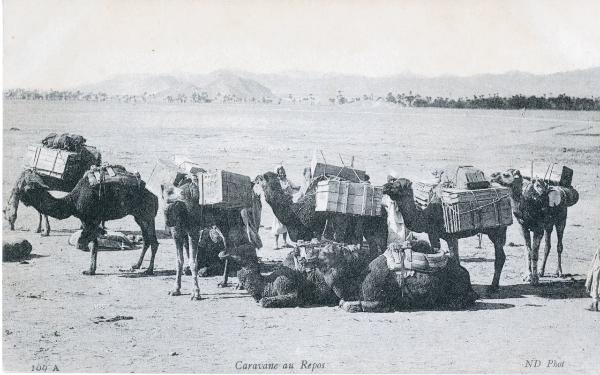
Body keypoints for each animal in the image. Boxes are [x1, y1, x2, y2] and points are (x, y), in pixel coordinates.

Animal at [11, 169, 159, 274]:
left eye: (22, 186)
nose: (14, 193)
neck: (72, 202)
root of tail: (154, 196)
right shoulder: (87, 221)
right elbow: (94, 244)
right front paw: (91, 270)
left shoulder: (91, 220)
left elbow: (84, 243)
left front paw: (89, 270)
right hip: (139, 217)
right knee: (147, 240)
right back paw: (137, 265)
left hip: (146, 215)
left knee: (153, 242)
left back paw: (149, 270)